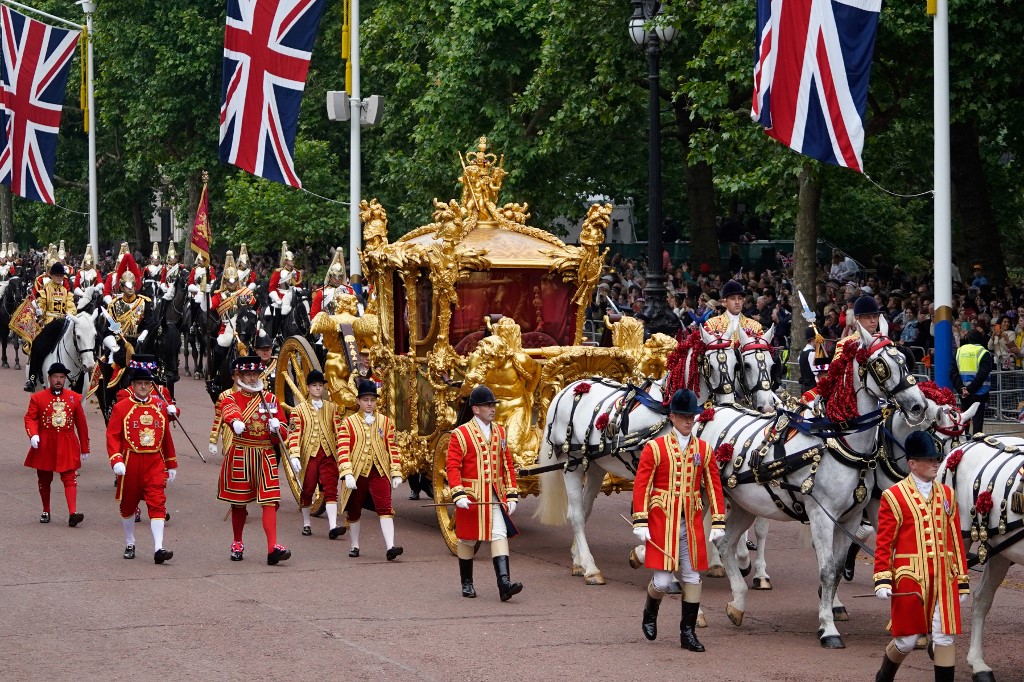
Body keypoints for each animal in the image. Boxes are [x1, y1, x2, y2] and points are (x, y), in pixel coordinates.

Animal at [704, 321, 929, 647]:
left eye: (905, 359)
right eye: (881, 365)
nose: (917, 406)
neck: (839, 443)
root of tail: (711, 410)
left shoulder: (849, 518)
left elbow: (836, 569)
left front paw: (830, 613)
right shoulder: (822, 515)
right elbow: (825, 570)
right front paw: (829, 629)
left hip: (744, 504)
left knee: (725, 542)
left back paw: (738, 604)